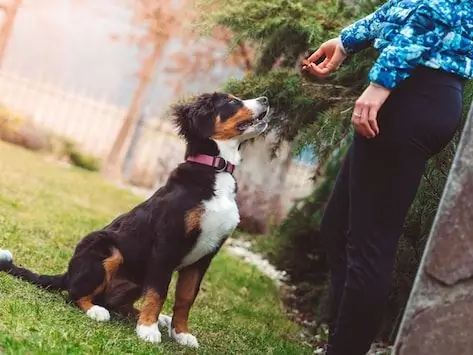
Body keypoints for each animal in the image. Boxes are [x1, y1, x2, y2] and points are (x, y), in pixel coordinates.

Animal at [0, 92, 270, 350]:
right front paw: (148, 330)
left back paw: (155, 319)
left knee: (118, 303)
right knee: (75, 294)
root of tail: (68, 273)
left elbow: (185, 298)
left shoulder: (205, 256)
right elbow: (159, 292)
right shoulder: (167, 246)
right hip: (108, 250)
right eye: (231, 102)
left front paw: (181, 333)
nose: (266, 99)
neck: (216, 170)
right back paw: (98, 311)